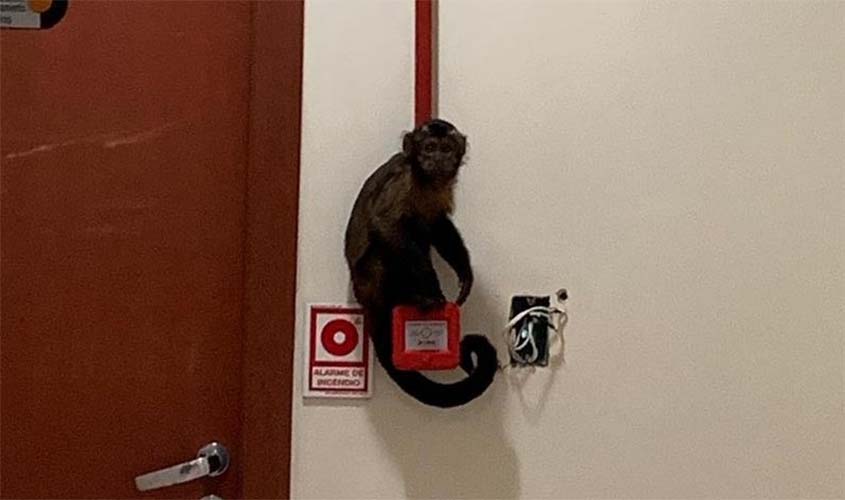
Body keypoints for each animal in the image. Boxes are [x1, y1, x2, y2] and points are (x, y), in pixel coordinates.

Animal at [344, 118, 498, 408]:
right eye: (429, 148)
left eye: (446, 149)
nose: (437, 160)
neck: (427, 182)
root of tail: (364, 297)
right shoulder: (404, 181)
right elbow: (386, 224)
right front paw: (432, 285)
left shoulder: (442, 188)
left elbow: (438, 224)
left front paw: (465, 273)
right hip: (374, 277)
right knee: (393, 239)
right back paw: (417, 297)